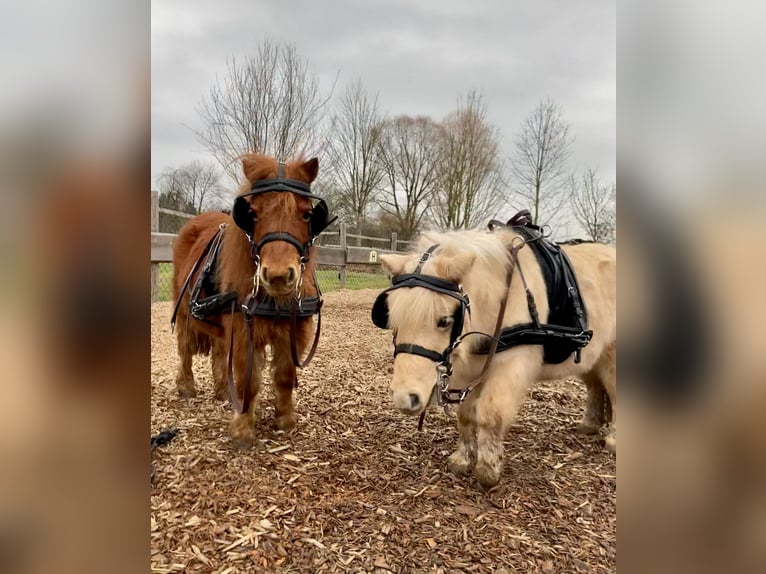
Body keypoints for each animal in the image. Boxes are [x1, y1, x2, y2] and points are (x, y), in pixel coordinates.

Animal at [172, 155, 334, 448]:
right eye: (253, 214)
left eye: (307, 214)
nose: (279, 275)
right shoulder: (243, 330)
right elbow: (249, 380)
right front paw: (242, 430)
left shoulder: (293, 332)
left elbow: (284, 376)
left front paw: (285, 420)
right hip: (184, 312)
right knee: (186, 348)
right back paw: (186, 385)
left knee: (219, 350)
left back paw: (223, 390)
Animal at [372, 218, 616, 488]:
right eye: (391, 320)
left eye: (444, 321)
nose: (404, 398)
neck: (502, 297)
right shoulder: (469, 367)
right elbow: (465, 414)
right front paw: (463, 458)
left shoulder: (512, 364)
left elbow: (492, 412)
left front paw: (488, 469)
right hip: (592, 358)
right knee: (596, 386)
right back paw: (590, 424)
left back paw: (614, 439)